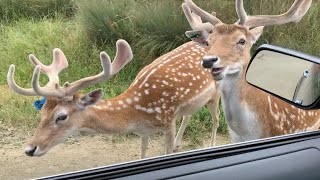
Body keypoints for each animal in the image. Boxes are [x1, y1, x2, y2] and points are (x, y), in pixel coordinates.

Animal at [8, 35, 221, 158]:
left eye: (61, 116)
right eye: (41, 113)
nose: (29, 149)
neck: (136, 113)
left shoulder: (167, 121)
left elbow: (165, 152)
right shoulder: (143, 132)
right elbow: (142, 154)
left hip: (216, 93)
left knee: (217, 119)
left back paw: (211, 145)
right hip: (193, 103)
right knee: (189, 114)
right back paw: (179, 143)